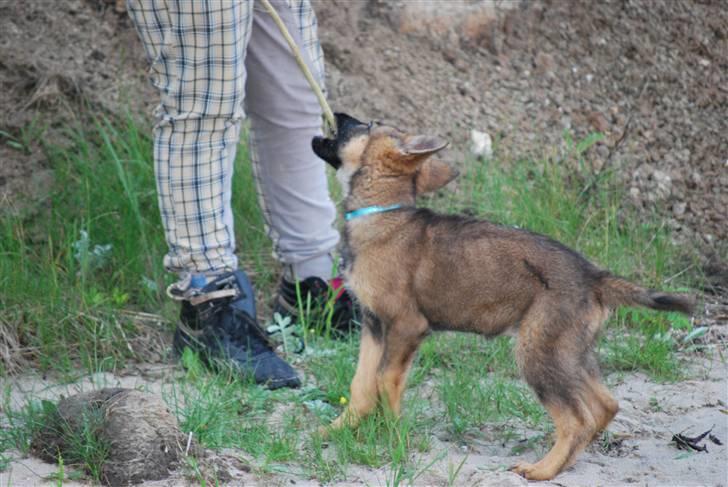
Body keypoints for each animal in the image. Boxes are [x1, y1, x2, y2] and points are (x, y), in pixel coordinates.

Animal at [312, 113, 692, 480]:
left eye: (367, 124)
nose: (339, 113)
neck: (380, 213)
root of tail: (594, 277)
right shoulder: (373, 325)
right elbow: (361, 385)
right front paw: (337, 430)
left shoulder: (406, 326)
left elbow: (384, 381)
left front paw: (394, 439)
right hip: (568, 353)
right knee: (605, 406)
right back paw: (563, 463)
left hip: (537, 353)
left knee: (576, 419)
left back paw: (542, 470)